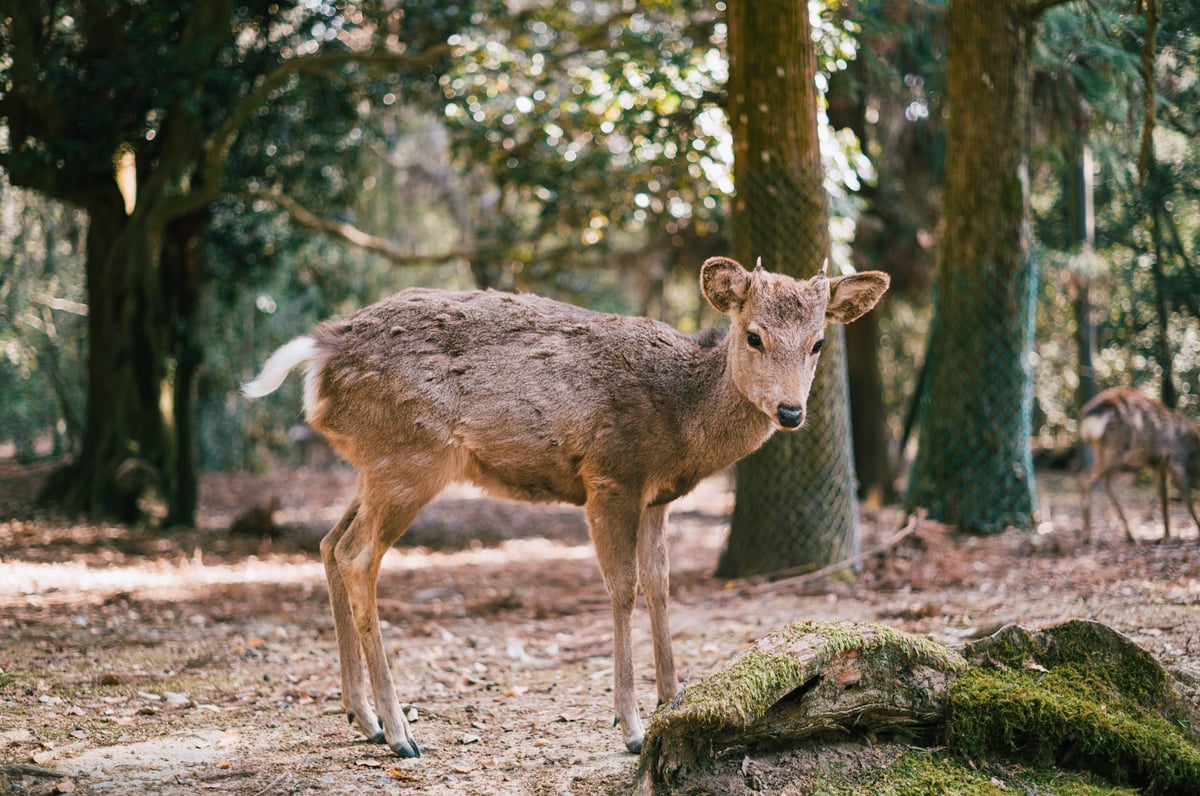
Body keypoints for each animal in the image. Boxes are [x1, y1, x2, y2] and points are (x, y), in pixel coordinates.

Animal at [241, 256, 889, 757]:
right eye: (753, 335)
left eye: (818, 342)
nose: (790, 411)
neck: (682, 420)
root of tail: (320, 352)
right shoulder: (610, 476)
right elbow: (623, 587)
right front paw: (630, 725)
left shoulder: (657, 496)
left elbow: (661, 583)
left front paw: (672, 696)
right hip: (408, 457)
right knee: (356, 556)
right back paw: (401, 732)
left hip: (373, 464)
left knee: (328, 543)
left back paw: (363, 718)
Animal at [1078, 387, 1200, 544]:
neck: (1193, 454)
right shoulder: (1176, 459)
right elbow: (1187, 497)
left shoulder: (1160, 466)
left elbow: (1164, 497)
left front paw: (1166, 534)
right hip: (1115, 448)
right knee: (1088, 478)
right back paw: (1088, 536)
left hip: (1102, 450)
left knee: (1101, 481)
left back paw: (1128, 534)